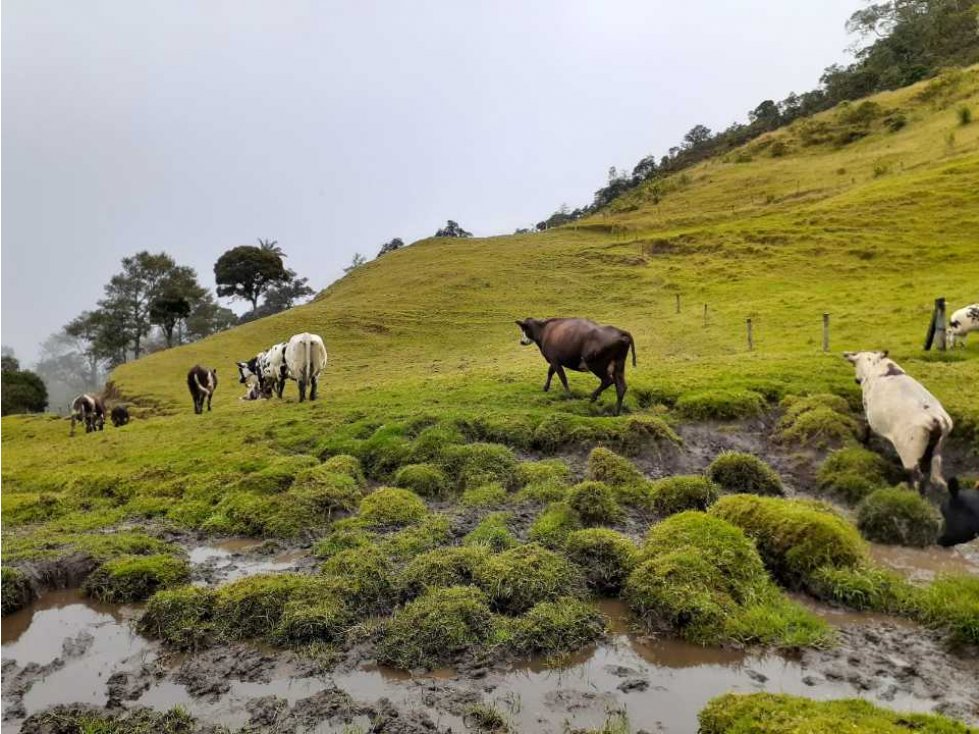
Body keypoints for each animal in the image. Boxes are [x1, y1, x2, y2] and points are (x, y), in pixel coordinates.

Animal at [848, 354, 952, 498]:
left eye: (855, 363)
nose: (856, 380)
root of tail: (937, 420)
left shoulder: (866, 407)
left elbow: (866, 425)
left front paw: (863, 442)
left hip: (910, 450)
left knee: (918, 478)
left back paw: (915, 496)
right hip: (937, 449)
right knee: (933, 474)